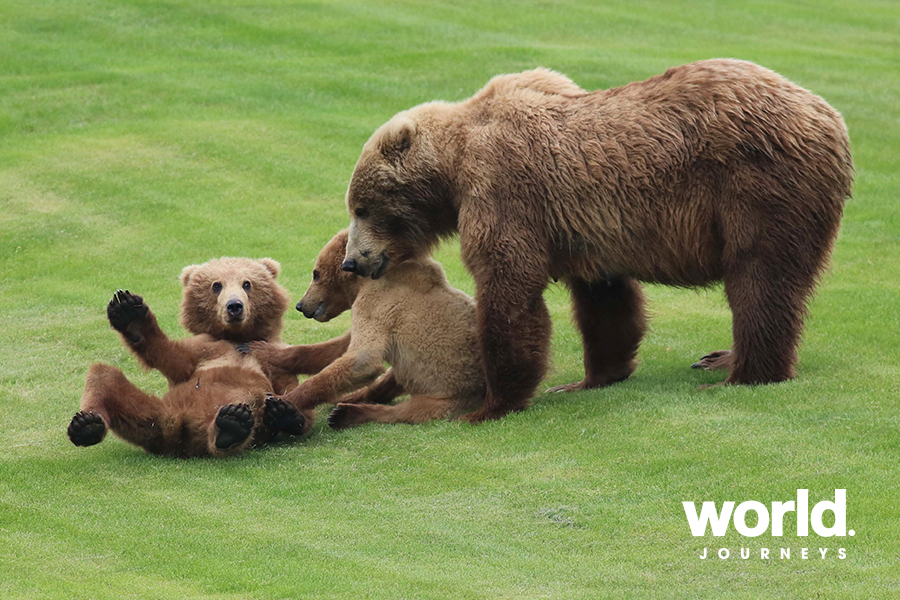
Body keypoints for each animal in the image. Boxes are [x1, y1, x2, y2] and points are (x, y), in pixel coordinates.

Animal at [342, 59, 856, 422]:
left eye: (361, 208)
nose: (353, 262)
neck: (453, 167)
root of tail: (830, 117)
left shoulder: (505, 189)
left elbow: (509, 285)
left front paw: (492, 404)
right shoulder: (583, 227)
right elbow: (605, 302)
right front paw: (590, 379)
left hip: (759, 185)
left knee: (759, 279)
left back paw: (740, 375)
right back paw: (717, 359)